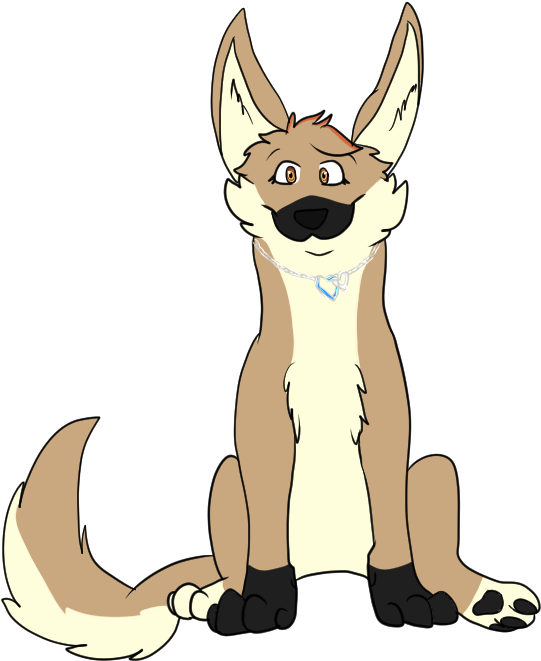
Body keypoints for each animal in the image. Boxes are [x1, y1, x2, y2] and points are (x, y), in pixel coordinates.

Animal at [3, 4, 539, 658]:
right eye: (285, 174)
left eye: (332, 175)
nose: (310, 215)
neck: (323, 335)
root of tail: (332, 563)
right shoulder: (261, 436)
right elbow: (263, 551)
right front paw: (258, 605)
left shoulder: (388, 432)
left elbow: (396, 540)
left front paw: (405, 599)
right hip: (224, 481)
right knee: (225, 565)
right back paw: (211, 598)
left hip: (433, 469)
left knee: (433, 551)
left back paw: (482, 597)